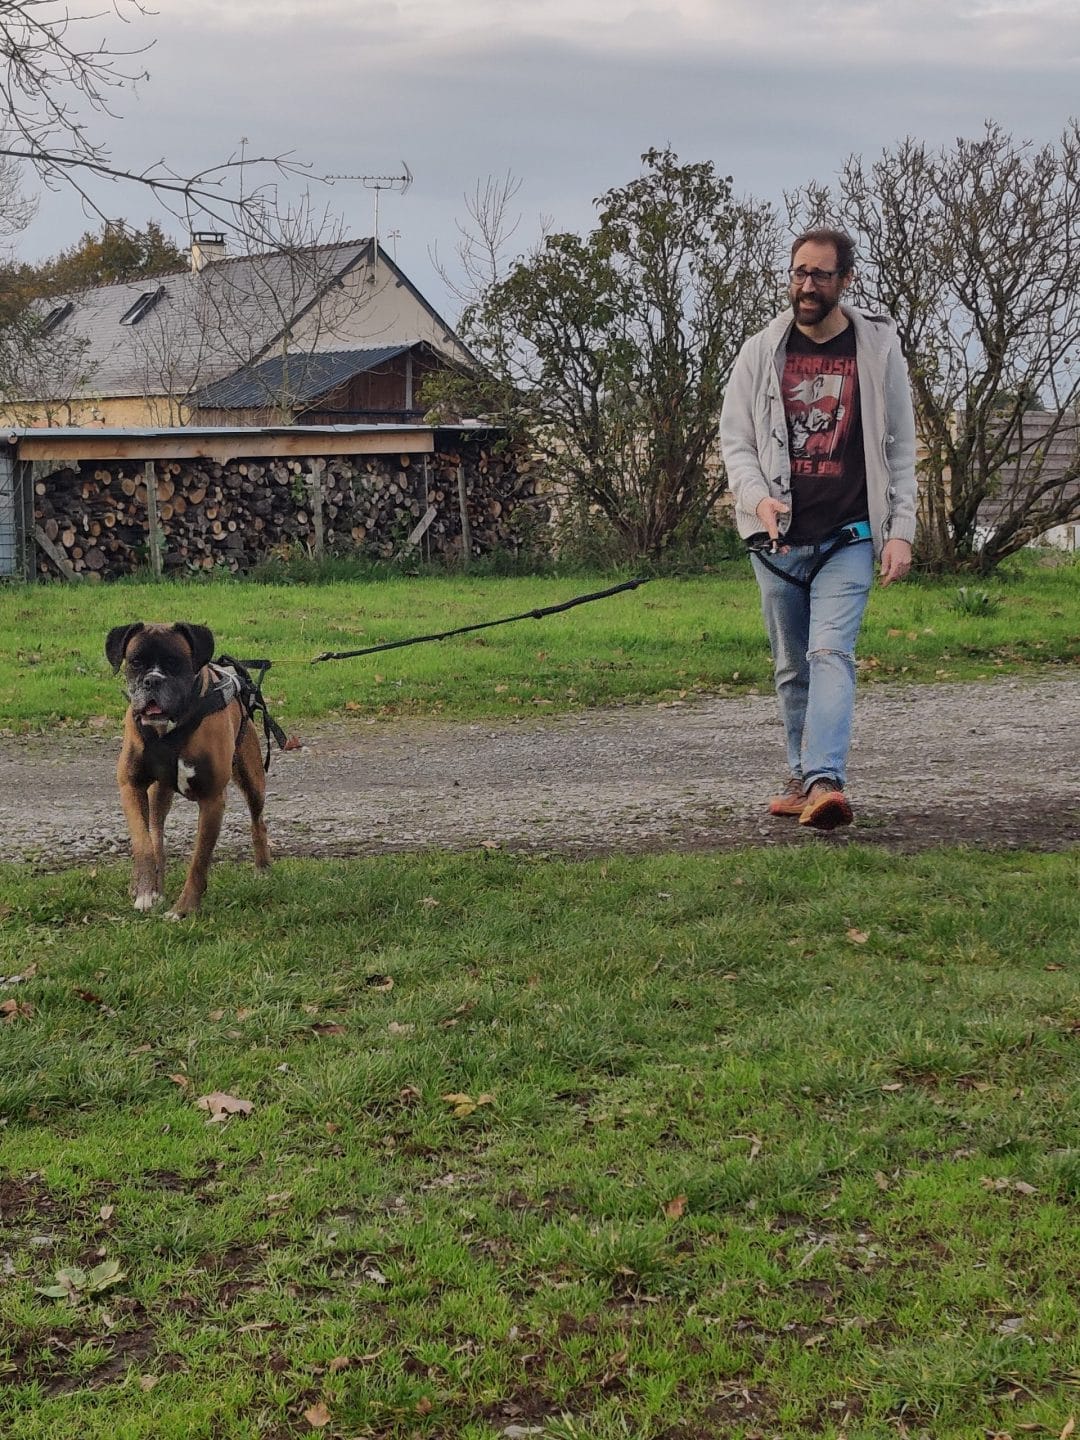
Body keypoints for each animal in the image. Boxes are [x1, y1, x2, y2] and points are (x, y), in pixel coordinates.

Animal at [106, 622, 270, 915]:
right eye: (135, 662)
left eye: (176, 662)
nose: (152, 680)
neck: (167, 730)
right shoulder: (130, 786)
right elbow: (143, 843)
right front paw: (145, 891)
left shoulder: (212, 800)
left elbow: (199, 860)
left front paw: (183, 909)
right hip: (158, 794)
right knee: (156, 835)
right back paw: (152, 886)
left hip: (252, 780)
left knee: (258, 822)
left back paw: (263, 869)